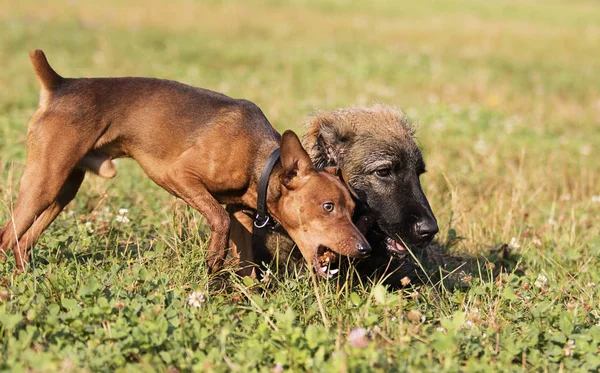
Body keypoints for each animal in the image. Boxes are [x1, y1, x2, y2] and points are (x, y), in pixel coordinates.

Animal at [0, 50, 370, 274]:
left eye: (354, 210)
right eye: (327, 207)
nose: (365, 249)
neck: (259, 162)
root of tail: (60, 84)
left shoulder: (241, 217)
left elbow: (247, 264)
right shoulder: (176, 175)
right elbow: (217, 219)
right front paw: (213, 260)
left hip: (63, 189)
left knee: (22, 241)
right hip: (45, 180)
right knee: (7, 235)